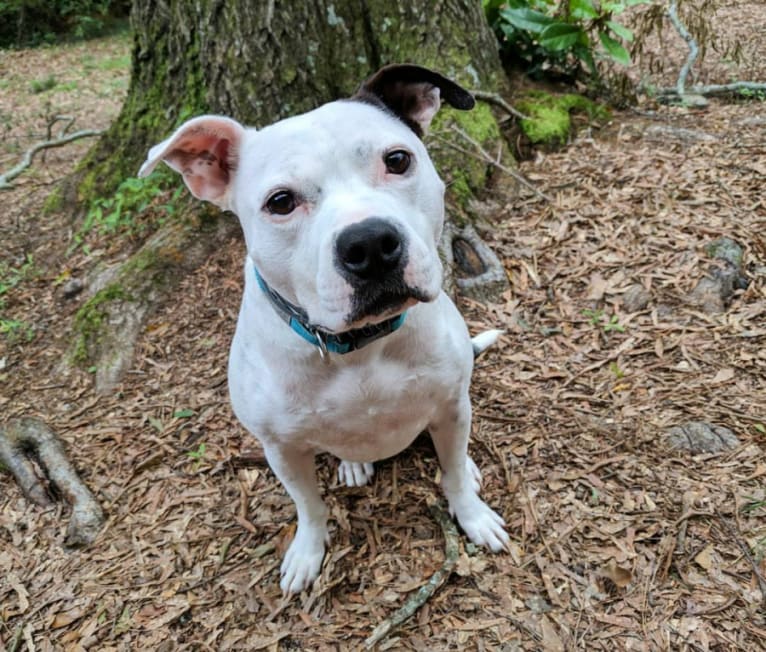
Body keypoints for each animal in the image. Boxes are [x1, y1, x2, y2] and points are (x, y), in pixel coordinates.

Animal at [140, 63, 510, 592]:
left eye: (397, 160)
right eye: (280, 202)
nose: (370, 243)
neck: (359, 346)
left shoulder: (451, 405)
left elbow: (454, 475)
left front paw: (473, 515)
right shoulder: (282, 450)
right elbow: (309, 507)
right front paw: (307, 553)